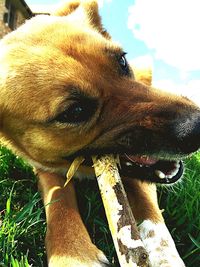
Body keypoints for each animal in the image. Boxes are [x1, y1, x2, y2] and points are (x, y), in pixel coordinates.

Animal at [0, 0, 199, 267]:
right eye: (76, 111)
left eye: (122, 61)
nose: (197, 127)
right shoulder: (44, 167)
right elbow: (58, 198)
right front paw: (71, 253)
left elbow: (146, 205)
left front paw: (164, 255)